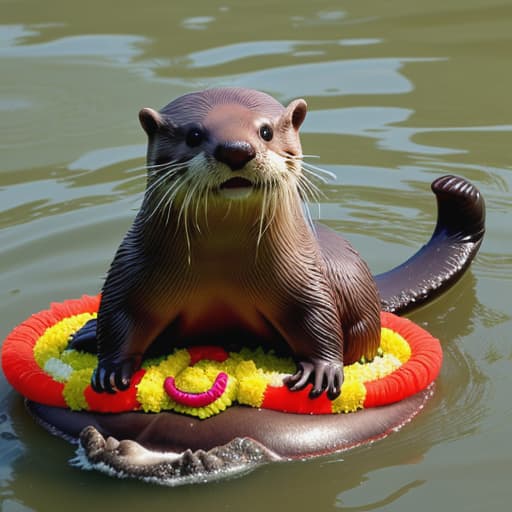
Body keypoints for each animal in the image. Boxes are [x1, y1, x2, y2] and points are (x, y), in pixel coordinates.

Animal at [90, 89, 382, 400]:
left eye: (266, 131)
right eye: (193, 135)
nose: (236, 149)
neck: (223, 260)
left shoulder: (304, 273)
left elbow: (318, 315)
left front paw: (322, 369)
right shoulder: (132, 268)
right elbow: (119, 313)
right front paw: (110, 369)